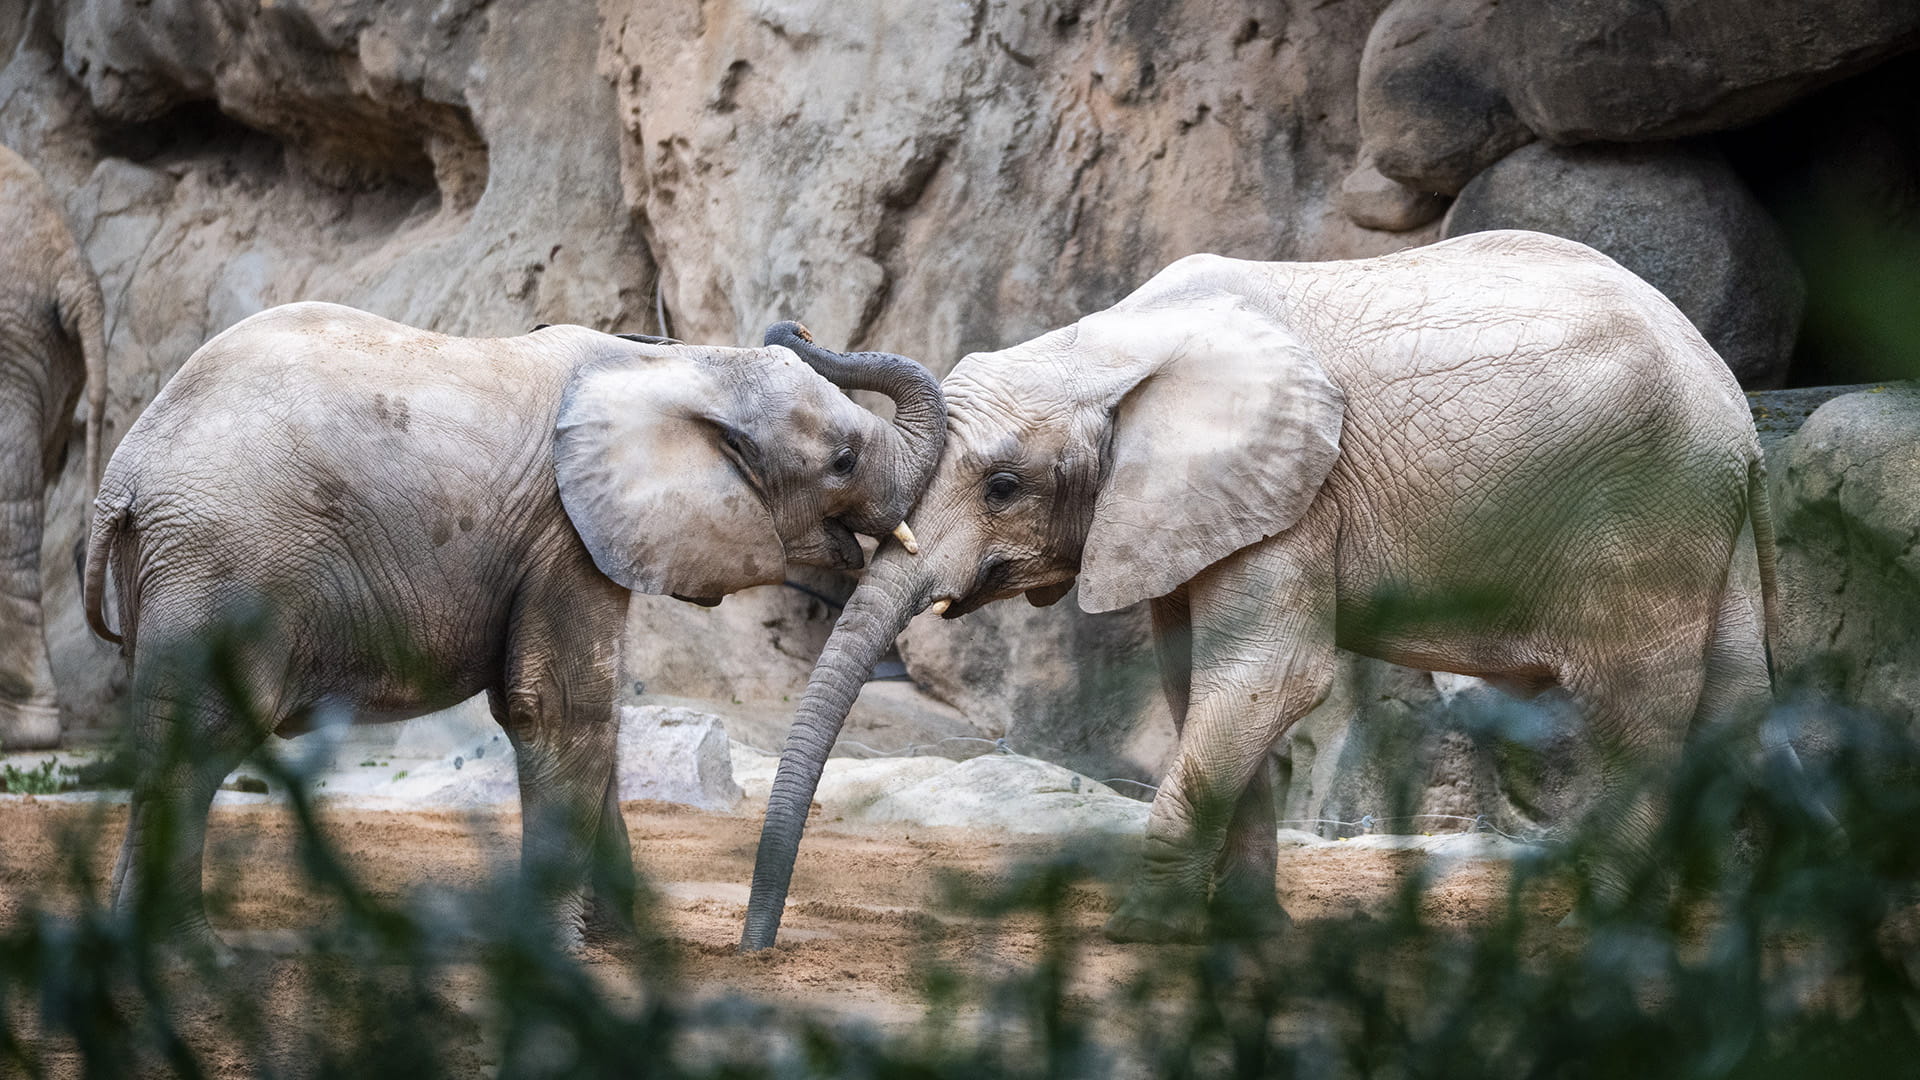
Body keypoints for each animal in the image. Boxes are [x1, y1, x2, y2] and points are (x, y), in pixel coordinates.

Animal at [82, 302, 942, 950]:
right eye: (841, 460)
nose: (796, 323)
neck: (681, 366)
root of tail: (122, 476)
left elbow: (587, 725)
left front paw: (626, 949)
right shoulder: (564, 533)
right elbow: (562, 714)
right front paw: (565, 956)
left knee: (167, 737)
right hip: (225, 562)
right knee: (204, 741)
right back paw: (193, 953)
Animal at [740, 229, 1781, 949]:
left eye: (1002, 486)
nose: (759, 947)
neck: (1110, 342)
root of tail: (1738, 408)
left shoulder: (1296, 498)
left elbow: (1266, 678)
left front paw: (1140, 934)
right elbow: (1196, 685)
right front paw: (1241, 932)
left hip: (1650, 507)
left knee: (1638, 708)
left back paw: (1603, 929)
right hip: (1704, 519)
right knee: (1734, 698)